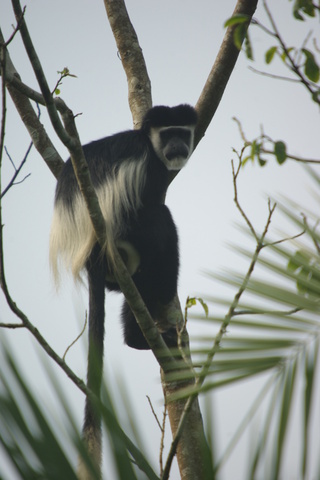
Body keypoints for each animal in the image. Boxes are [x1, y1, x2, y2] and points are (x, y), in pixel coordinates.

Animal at [49, 105, 198, 468]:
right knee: (159, 222)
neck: (149, 145)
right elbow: (154, 208)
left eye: (182, 132)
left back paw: (139, 337)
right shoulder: (147, 169)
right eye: (168, 133)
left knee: (134, 291)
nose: (177, 147)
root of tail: (90, 254)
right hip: (121, 239)